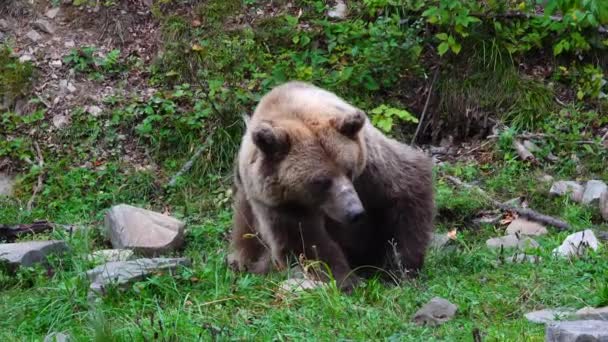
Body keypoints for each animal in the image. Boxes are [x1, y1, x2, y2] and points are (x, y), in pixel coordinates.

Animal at [227, 81, 432, 292]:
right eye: (320, 181)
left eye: (349, 170)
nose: (355, 212)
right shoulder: (278, 202)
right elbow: (306, 242)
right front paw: (345, 280)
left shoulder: (370, 163)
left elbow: (406, 187)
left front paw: (399, 268)